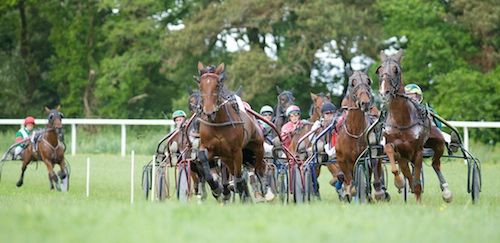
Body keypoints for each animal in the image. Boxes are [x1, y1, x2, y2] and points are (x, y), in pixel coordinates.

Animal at [195, 62, 268, 201]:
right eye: (200, 86)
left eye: (218, 85)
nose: (209, 112)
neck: (217, 124)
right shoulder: (210, 148)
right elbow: (202, 160)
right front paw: (216, 188)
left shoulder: (236, 151)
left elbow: (239, 176)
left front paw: (238, 189)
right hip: (226, 158)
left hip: (257, 145)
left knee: (259, 168)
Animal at [336, 70, 386, 201]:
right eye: (352, 83)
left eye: (368, 81)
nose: (365, 103)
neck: (355, 132)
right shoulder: (342, 160)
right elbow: (350, 181)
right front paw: (350, 192)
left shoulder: (370, 153)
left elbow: (373, 165)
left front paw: (378, 193)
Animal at [376, 49, 454, 201]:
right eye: (380, 70)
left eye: (396, 70)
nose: (383, 93)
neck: (401, 120)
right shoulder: (397, 149)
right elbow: (391, 154)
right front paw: (399, 182)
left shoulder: (418, 150)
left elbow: (417, 183)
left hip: (438, 142)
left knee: (436, 163)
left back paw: (446, 191)